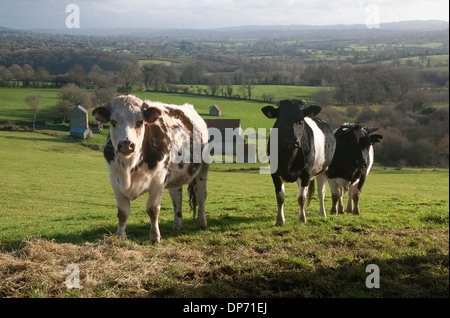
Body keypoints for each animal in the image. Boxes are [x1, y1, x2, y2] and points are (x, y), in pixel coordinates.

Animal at [94, 94, 210, 243]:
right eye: (113, 122)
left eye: (139, 122)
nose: (126, 144)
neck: (129, 166)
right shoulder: (115, 181)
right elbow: (122, 212)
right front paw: (120, 237)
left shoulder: (158, 181)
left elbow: (153, 210)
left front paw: (155, 237)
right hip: (175, 176)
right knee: (177, 198)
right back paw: (177, 225)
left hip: (203, 169)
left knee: (201, 195)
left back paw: (202, 223)